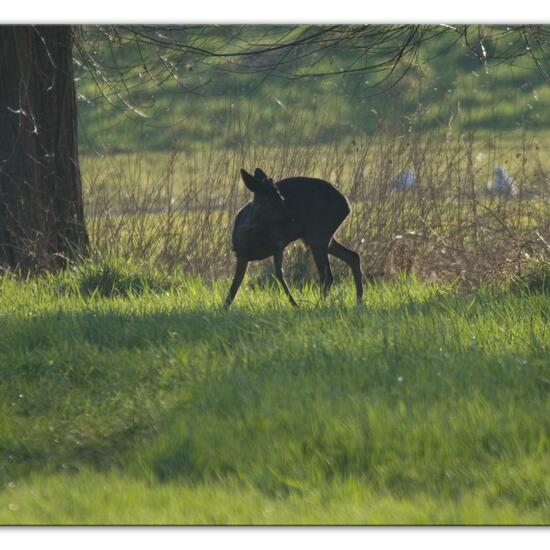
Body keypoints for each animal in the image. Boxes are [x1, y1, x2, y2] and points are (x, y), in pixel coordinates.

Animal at [223, 166, 362, 308]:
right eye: (270, 201)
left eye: (281, 197)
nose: (291, 219)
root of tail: (347, 206)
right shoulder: (241, 254)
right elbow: (235, 285)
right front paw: (225, 307)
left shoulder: (278, 244)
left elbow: (279, 274)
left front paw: (295, 304)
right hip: (317, 237)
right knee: (352, 256)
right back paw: (358, 301)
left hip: (319, 232)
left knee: (327, 275)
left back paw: (319, 305)